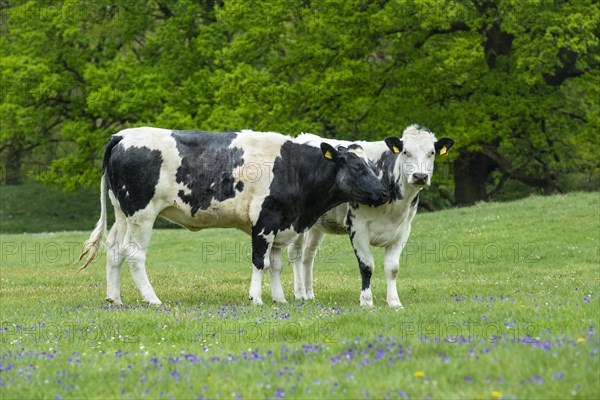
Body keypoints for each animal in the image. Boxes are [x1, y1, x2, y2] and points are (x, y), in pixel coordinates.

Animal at [78, 126, 390, 304]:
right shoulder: (263, 222)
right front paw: (256, 298)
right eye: (359, 168)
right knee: (133, 254)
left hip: (121, 212)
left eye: (371, 166)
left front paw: (280, 299)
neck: (293, 168)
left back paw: (114, 298)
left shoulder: (281, 224)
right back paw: (152, 299)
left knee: (114, 250)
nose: (385, 192)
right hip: (142, 214)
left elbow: (276, 265)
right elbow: (260, 262)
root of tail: (123, 135)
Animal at [290, 125, 454, 306]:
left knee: (308, 255)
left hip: (317, 225)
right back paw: (299, 293)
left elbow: (392, 268)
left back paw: (309, 294)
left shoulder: (403, 229)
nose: (420, 176)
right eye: (405, 151)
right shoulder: (357, 227)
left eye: (432, 152)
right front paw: (366, 301)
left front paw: (394, 301)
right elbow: (367, 266)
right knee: (296, 254)